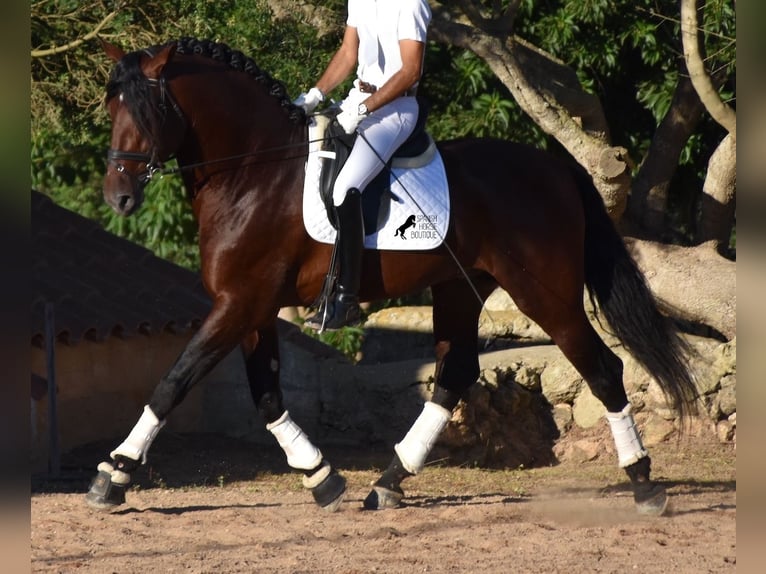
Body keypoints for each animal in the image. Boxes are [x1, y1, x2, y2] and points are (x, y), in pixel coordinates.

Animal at [87, 37, 700, 516]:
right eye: (112, 108)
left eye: (145, 111)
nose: (118, 198)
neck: (254, 170)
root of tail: (555, 167)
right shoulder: (253, 307)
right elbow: (265, 396)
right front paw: (321, 477)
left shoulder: (241, 301)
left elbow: (174, 381)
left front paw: (113, 474)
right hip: (460, 287)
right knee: (455, 373)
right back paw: (388, 481)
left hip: (544, 294)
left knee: (602, 368)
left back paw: (644, 483)